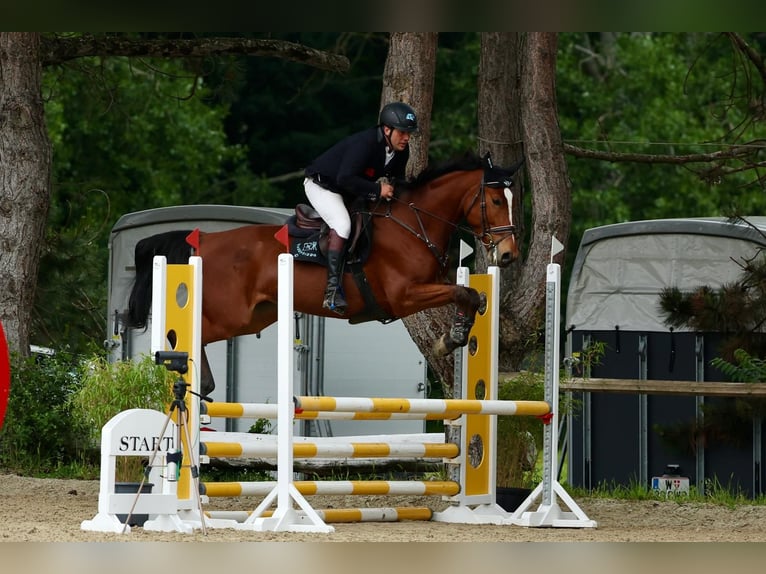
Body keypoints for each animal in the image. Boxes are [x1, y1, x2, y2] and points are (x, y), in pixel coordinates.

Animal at [127, 153, 521, 395]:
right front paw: (448, 340)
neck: (414, 223)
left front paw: (455, 335)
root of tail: (206, 239)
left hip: (254, 316)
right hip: (231, 314)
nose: (508, 254)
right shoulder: (404, 295)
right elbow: (463, 293)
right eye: (495, 201)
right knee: (186, 334)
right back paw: (192, 377)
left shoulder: (428, 285)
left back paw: (203, 382)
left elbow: (473, 295)